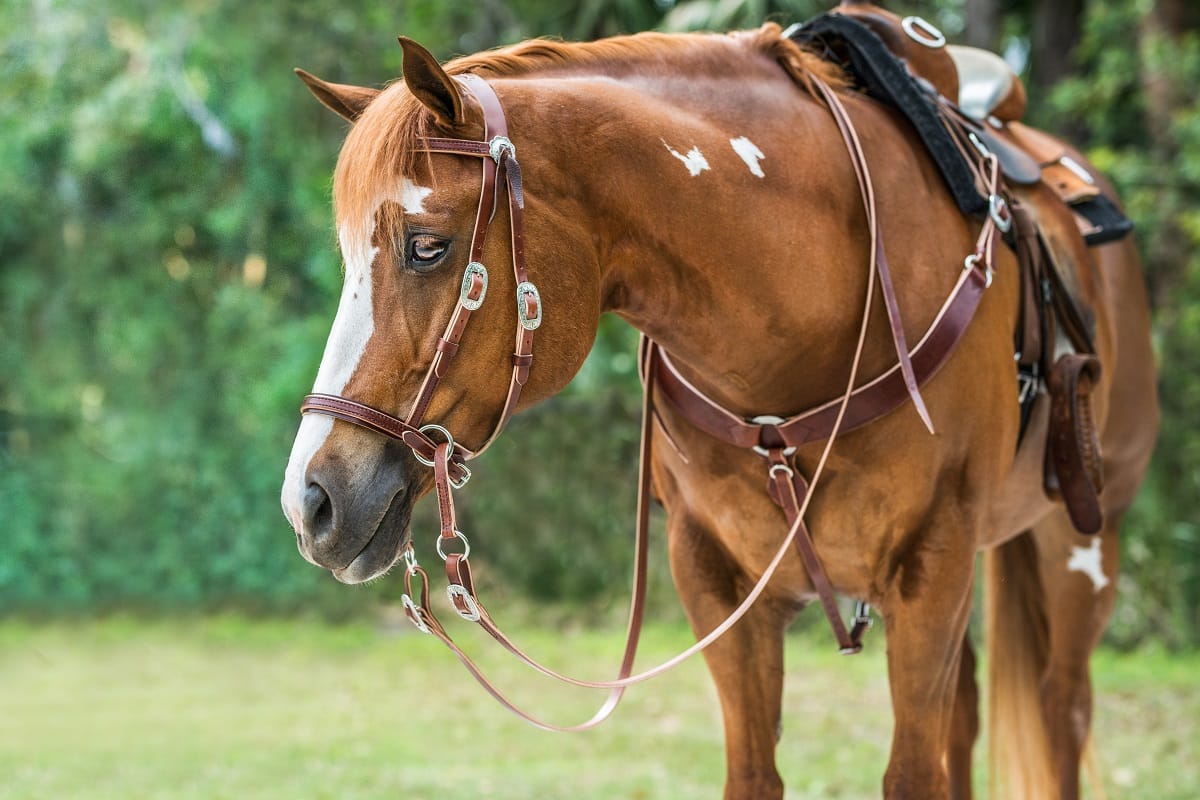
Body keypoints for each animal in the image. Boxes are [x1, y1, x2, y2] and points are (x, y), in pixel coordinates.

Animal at [280, 7, 1158, 798]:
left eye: (427, 247)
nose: (310, 499)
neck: (810, 305)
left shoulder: (934, 566)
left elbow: (914, 773)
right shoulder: (716, 582)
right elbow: (758, 772)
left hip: (1082, 545)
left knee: (1062, 712)